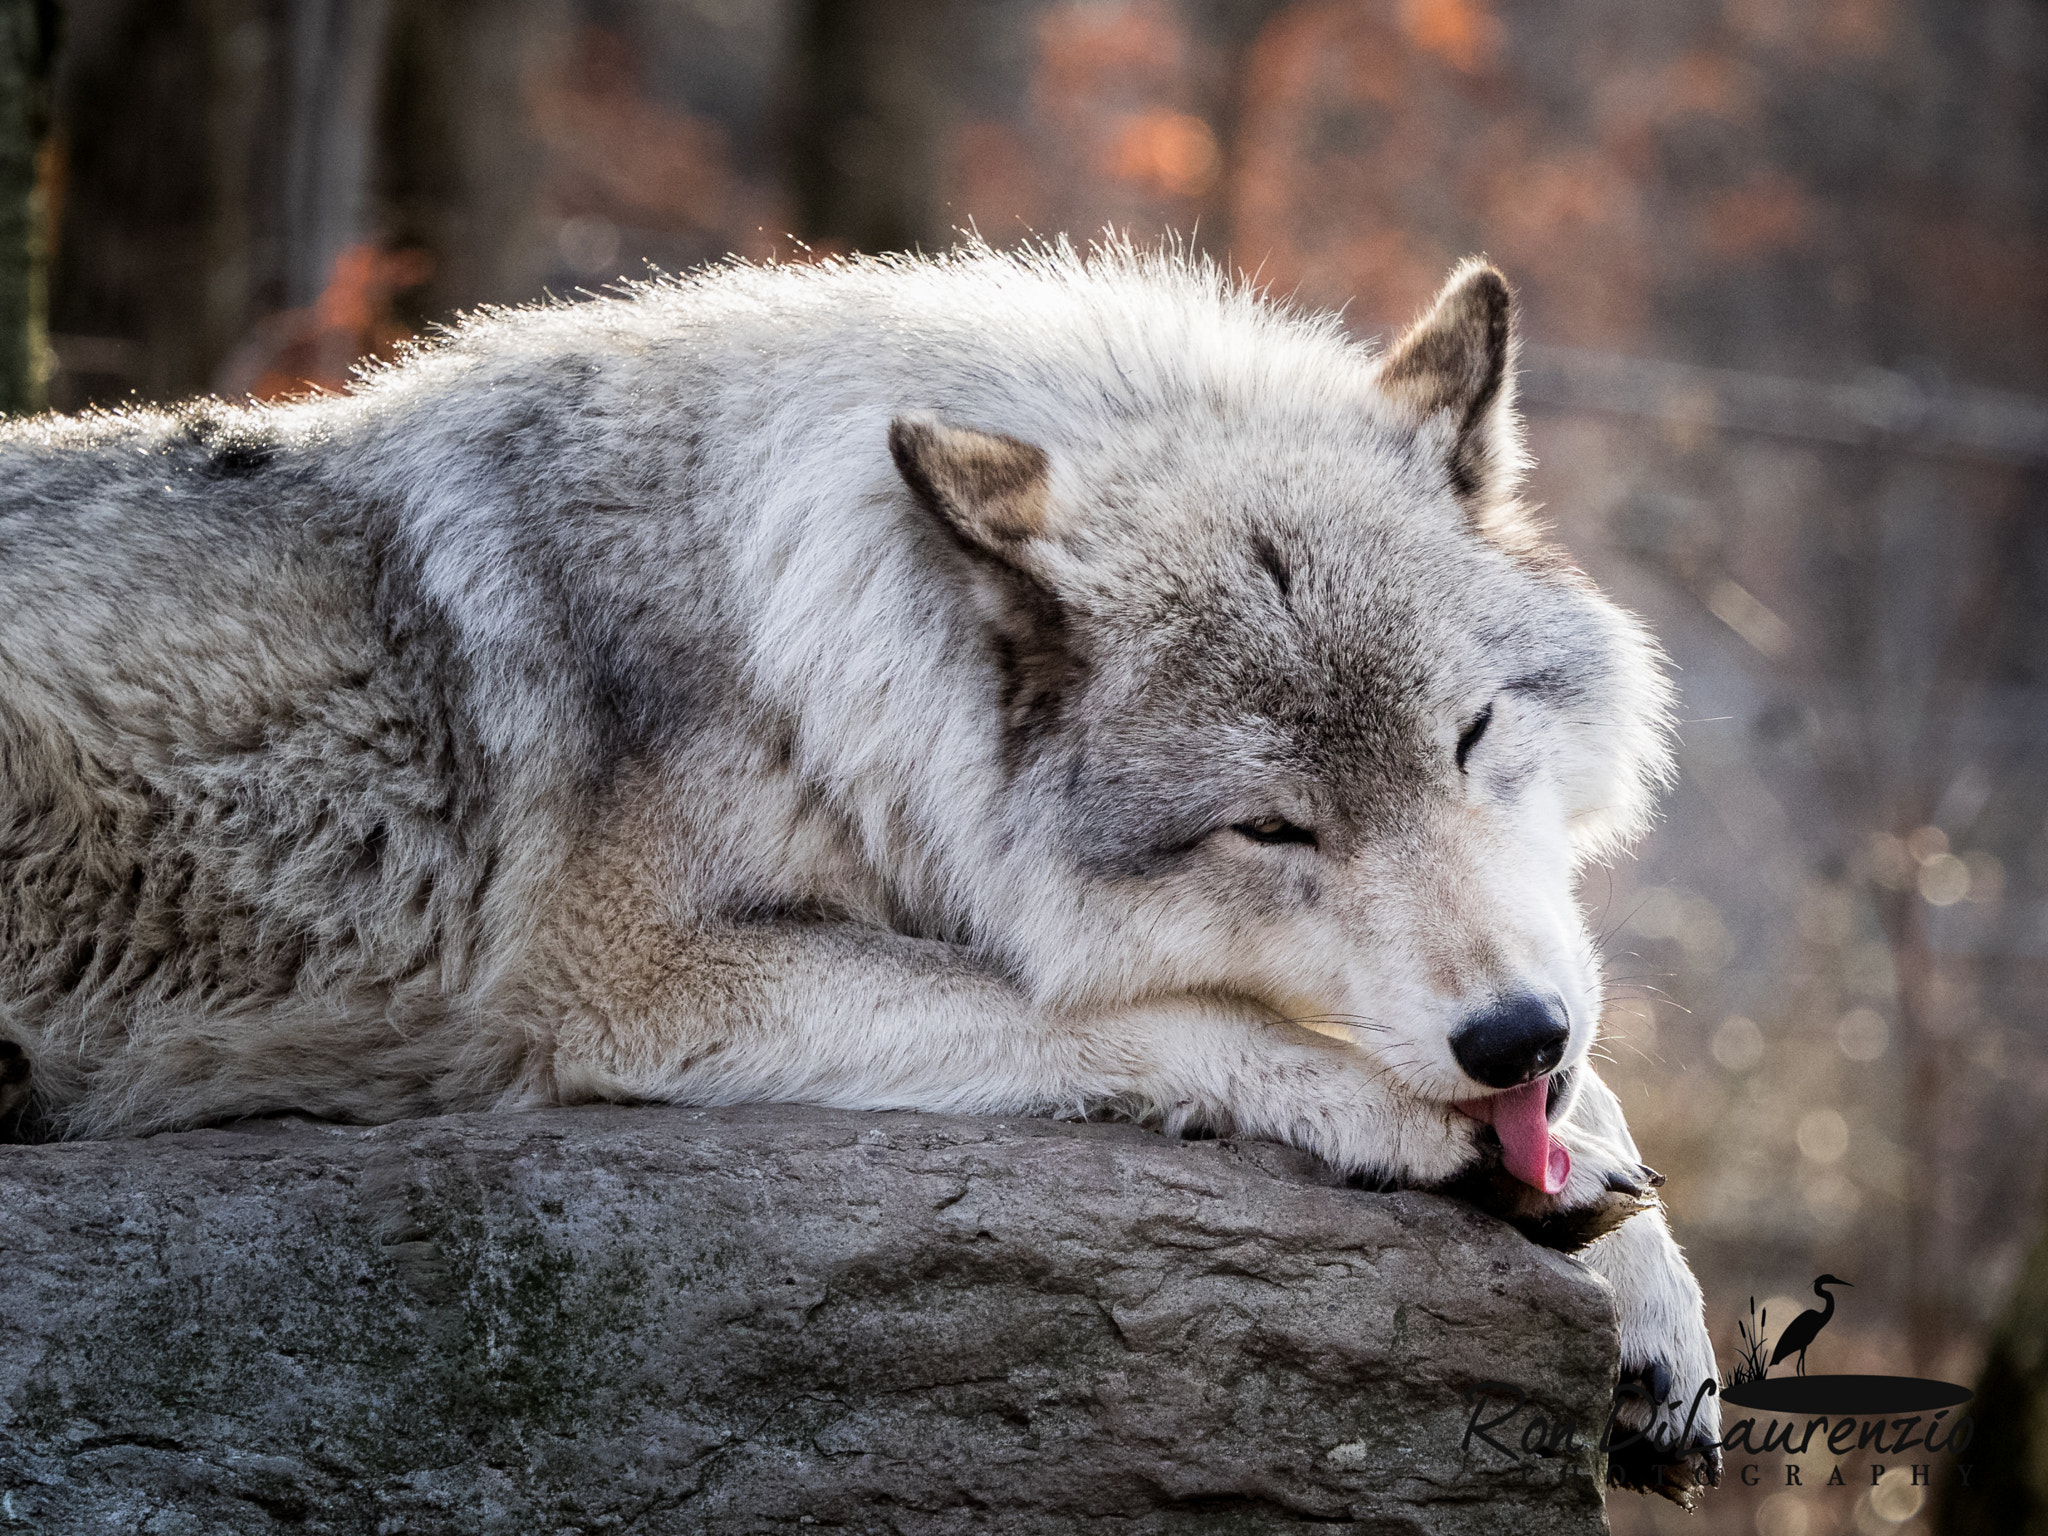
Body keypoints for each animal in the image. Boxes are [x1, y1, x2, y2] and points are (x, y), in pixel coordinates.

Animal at [0, 243, 1728, 1490]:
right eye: (1272, 828)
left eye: (1471, 736)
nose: (1510, 1036)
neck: (807, 644)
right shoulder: (643, 989)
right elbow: (1130, 1013)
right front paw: (1419, 1134)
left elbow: (1584, 1083)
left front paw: (1647, 1283)